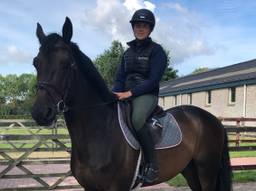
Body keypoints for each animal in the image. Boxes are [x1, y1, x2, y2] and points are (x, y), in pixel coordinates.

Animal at [31, 17, 232, 190]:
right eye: (36, 63)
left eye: (66, 64)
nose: (40, 113)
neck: (101, 131)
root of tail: (213, 120)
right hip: (190, 170)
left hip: (207, 170)